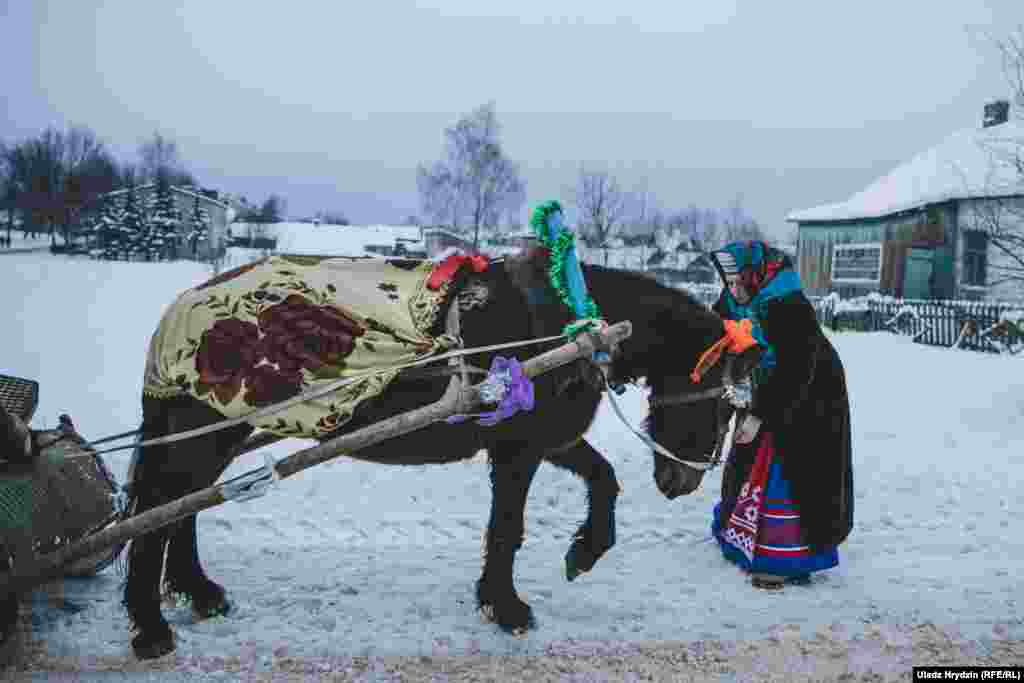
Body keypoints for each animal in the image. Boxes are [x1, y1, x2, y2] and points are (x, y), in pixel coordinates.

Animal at [123, 248, 757, 659]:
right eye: (724, 404)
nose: (684, 481)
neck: (574, 326)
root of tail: (180, 309)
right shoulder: (520, 447)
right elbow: (508, 526)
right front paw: (506, 607)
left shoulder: (541, 439)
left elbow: (601, 480)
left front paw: (583, 553)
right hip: (204, 428)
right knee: (158, 510)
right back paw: (150, 627)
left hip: (219, 432)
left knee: (183, 505)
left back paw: (200, 592)